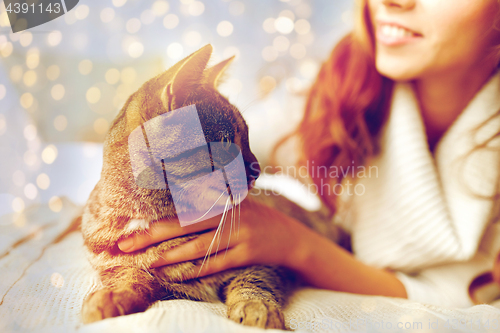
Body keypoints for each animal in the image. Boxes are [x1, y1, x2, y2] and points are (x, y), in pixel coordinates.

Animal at [80, 44, 342, 330]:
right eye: (226, 142)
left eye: (248, 136)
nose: (258, 169)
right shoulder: (131, 271)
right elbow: (131, 275)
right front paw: (113, 296)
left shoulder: (268, 262)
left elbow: (252, 282)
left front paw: (256, 307)